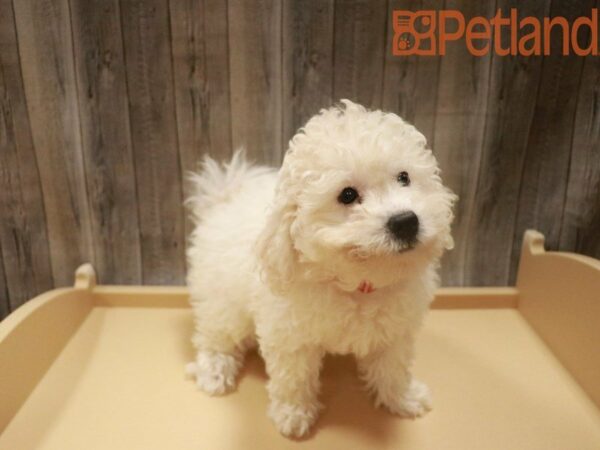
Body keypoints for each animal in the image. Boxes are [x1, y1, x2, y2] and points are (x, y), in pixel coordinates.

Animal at [185, 100, 458, 438]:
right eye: (347, 195)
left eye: (404, 177)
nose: (406, 221)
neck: (359, 283)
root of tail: (223, 198)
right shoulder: (289, 335)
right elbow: (294, 377)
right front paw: (293, 414)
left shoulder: (395, 331)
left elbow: (393, 366)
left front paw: (403, 398)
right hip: (222, 300)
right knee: (215, 336)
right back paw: (214, 371)